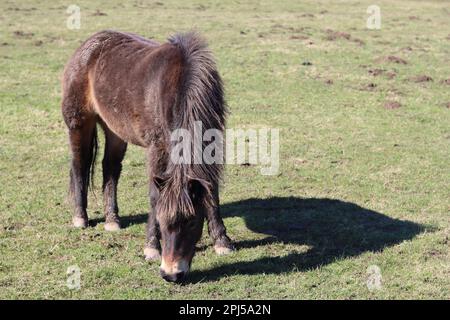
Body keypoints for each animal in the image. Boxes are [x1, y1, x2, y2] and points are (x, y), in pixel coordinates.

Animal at [61, 30, 234, 282]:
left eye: (193, 222)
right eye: (162, 221)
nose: (171, 274)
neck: (181, 84)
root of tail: (88, 45)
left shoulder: (211, 144)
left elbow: (211, 192)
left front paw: (222, 241)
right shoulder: (157, 147)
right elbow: (154, 196)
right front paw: (151, 247)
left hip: (115, 131)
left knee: (110, 168)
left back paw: (112, 220)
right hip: (79, 124)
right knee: (79, 166)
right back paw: (80, 218)